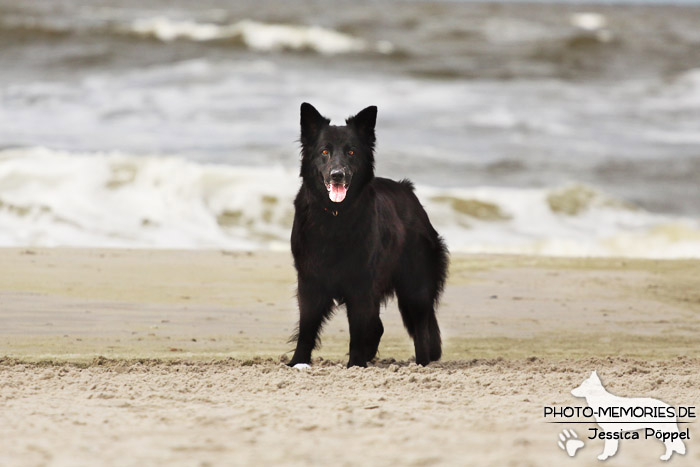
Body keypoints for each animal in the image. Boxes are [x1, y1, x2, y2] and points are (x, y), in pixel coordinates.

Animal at [288, 103, 448, 370]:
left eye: (351, 152)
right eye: (324, 151)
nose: (337, 175)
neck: (335, 217)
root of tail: (409, 192)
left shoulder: (361, 285)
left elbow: (357, 329)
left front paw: (355, 364)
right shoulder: (309, 281)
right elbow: (307, 327)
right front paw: (298, 362)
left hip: (415, 288)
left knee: (420, 330)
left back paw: (421, 363)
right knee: (378, 326)